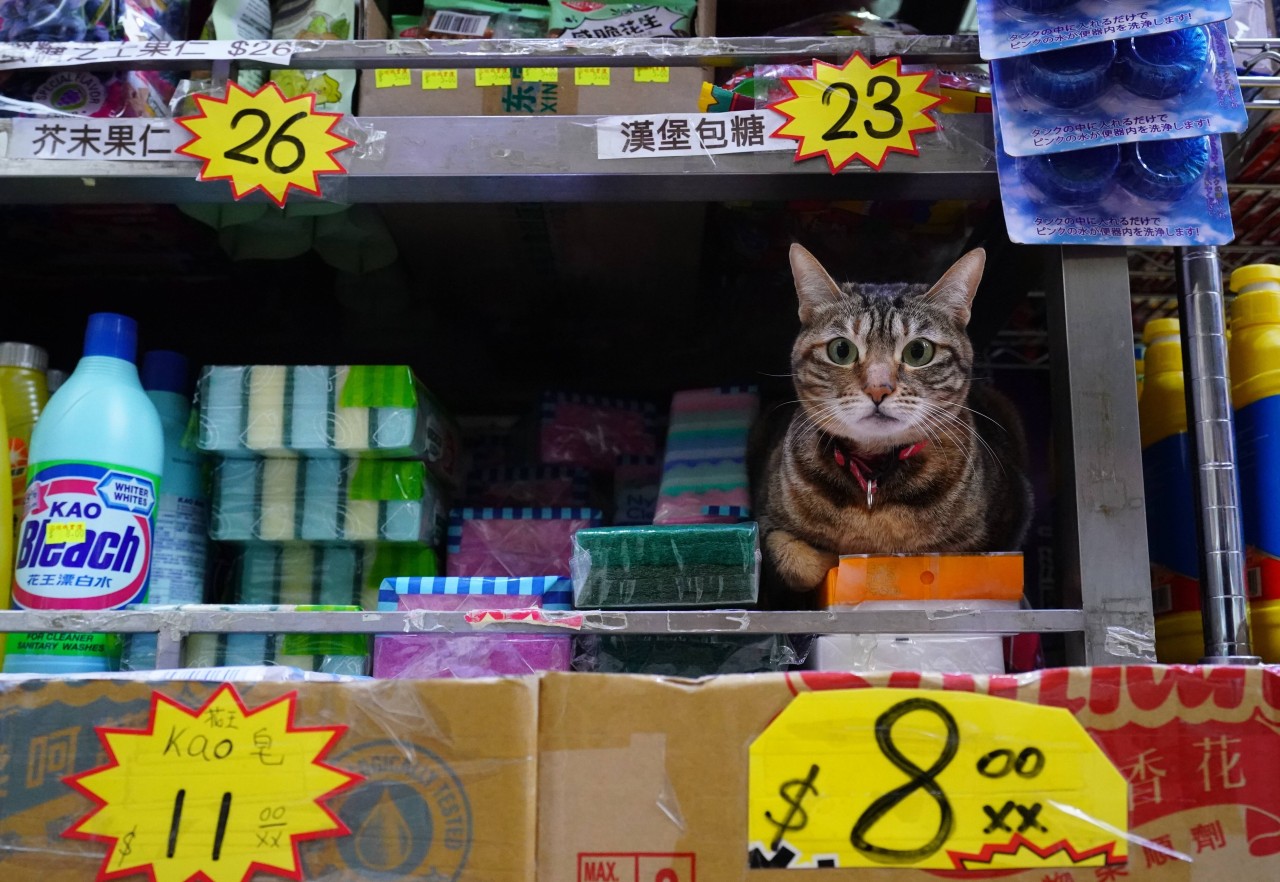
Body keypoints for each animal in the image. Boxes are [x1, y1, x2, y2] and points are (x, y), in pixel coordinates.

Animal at [752, 241, 1034, 591]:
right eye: (841, 350)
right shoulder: (764, 518)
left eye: (918, 352)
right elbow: (795, 561)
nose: (878, 389)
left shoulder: (1012, 519)